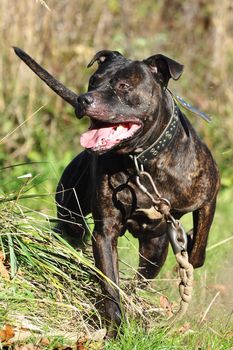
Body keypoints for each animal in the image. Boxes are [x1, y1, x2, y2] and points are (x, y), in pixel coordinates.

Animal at [14, 47, 220, 338]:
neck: (141, 161)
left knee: (145, 275)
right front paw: (115, 328)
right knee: (74, 234)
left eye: (124, 86)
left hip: (155, 248)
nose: (83, 98)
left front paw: (190, 241)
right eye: (93, 81)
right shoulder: (105, 232)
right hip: (72, 213)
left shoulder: (208, 196)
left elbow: (198, 251)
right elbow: (110, 283)